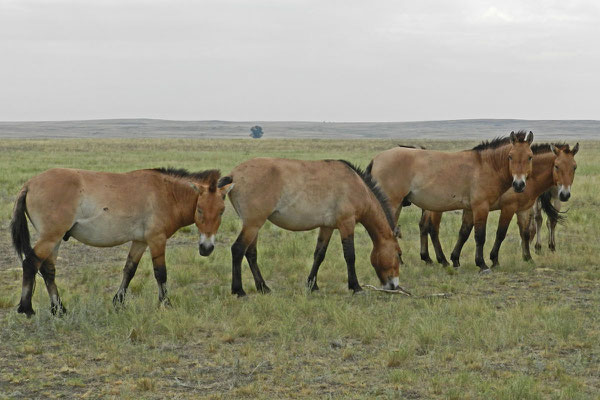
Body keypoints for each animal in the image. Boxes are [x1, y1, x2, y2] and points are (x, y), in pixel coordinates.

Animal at [11, 166, 234, 316]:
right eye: (200, 210)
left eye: (222, 211)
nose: (206, 248)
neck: (167, 194)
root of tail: (29, 184)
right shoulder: (157, 240)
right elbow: (160, 273)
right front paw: (166, 303)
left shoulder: (140, 242)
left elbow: (129, 270)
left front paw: (118, 301)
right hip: (51, 237)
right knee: (31, 263)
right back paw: (27, 309)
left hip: (55, 240)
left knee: (48, 270)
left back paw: (59, 309)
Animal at [220, 157, 404, 296]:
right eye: (399, 254)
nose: (394, 286)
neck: (356, 186)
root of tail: (234, 175)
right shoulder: (347, 224)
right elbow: (350, 256)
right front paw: (356, 287)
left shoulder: (327, 227)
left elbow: (319, 255)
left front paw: (312, 285)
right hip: (253, 224)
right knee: (238, 249)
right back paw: (239, 291)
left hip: (253, 226)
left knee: (251, 253)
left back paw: (264, 287)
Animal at [370, 131, 536, 272]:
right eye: (510, 156)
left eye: (530, 157)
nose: (519, 185)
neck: (485, 165)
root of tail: (376, 159)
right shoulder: (481, 207)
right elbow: (480, 236)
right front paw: (482, 264)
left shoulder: (470, 209)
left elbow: (465, 233)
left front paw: (458, 260)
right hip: (393, 204)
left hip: (397, 205)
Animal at [418, 142, 576, 268]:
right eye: (556, 166)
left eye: (574, 167)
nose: (564, 194)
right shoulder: (508, 208)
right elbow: (500, 233)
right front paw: (494, 260)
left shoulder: (523, 209)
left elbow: (524, 233)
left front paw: (527, 257)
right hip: (436, 208)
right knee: (433, 229)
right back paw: (440, 259)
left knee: (424, 226)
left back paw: (428, 258)